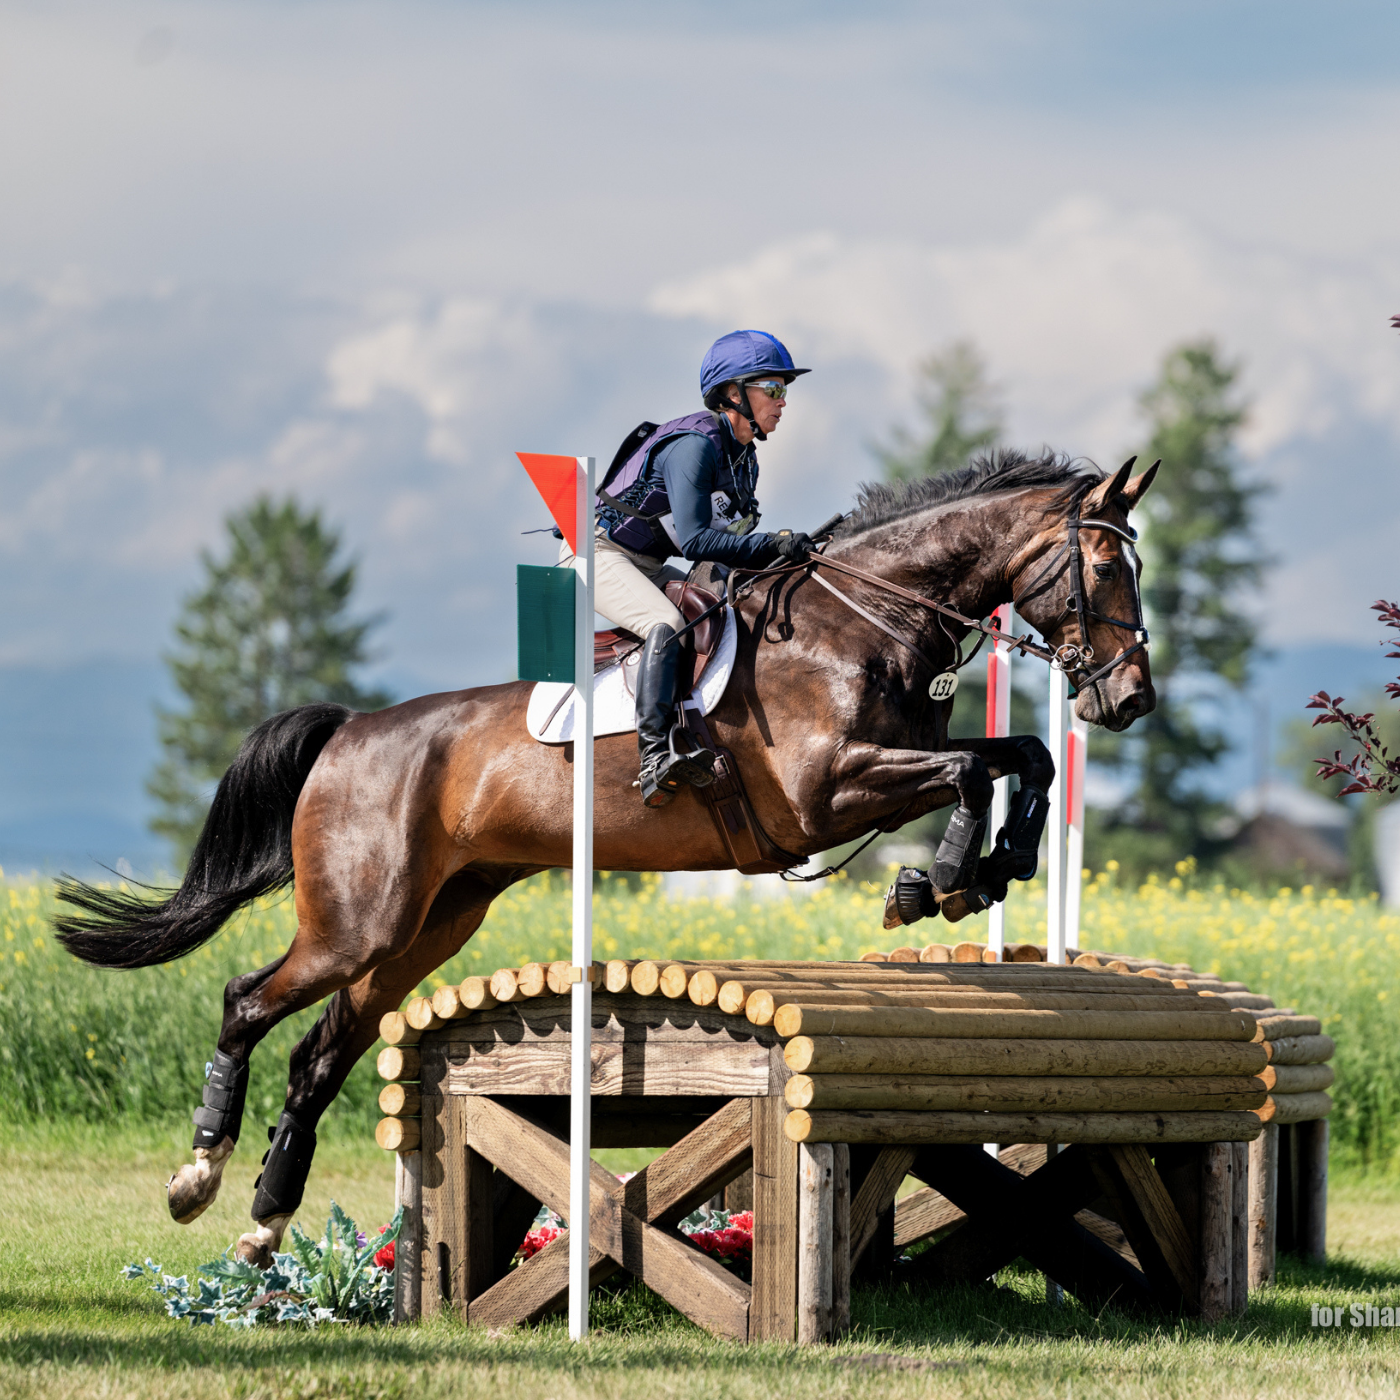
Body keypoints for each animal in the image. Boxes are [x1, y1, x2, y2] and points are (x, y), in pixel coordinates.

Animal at [55, 448, 1157, 1265]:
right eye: (1105, 570)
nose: (1130, 696)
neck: (865, 617)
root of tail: (353, 729)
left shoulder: (888, 766)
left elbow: (1018, 755)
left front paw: (976, 871)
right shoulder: (824, 790)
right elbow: (974, 771)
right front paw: (940, 880)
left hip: (430, 923)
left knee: (322, 1051)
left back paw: (262, 1222)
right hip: (358, 919)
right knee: (247, 999)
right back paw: (197, 1175)